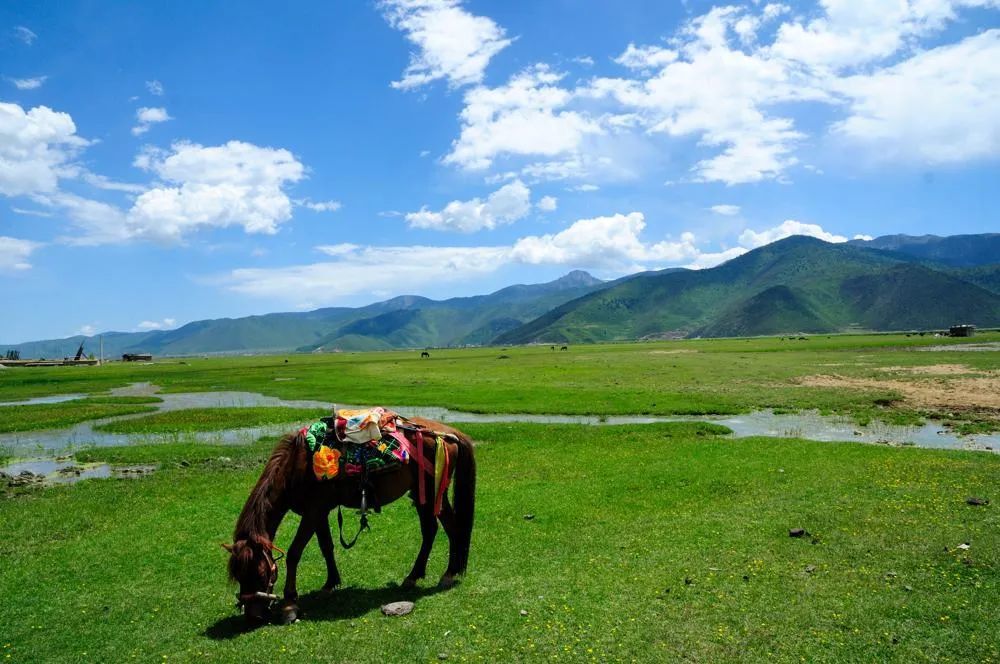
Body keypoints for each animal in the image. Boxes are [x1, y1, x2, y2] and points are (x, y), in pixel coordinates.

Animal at [225, 418, 474, 624]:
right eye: (238, 575)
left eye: (259, 572)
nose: (253, 617)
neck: (296, 465)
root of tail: (451, 433)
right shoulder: (318, 512)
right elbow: (326, 546)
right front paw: (330, 584)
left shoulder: (313, 512)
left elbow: (295, 553)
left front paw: (289, 605)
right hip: (421, 495)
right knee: (430, 530)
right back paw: (413, 577)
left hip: (434, 494)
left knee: (451, 527)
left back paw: (448, 575)